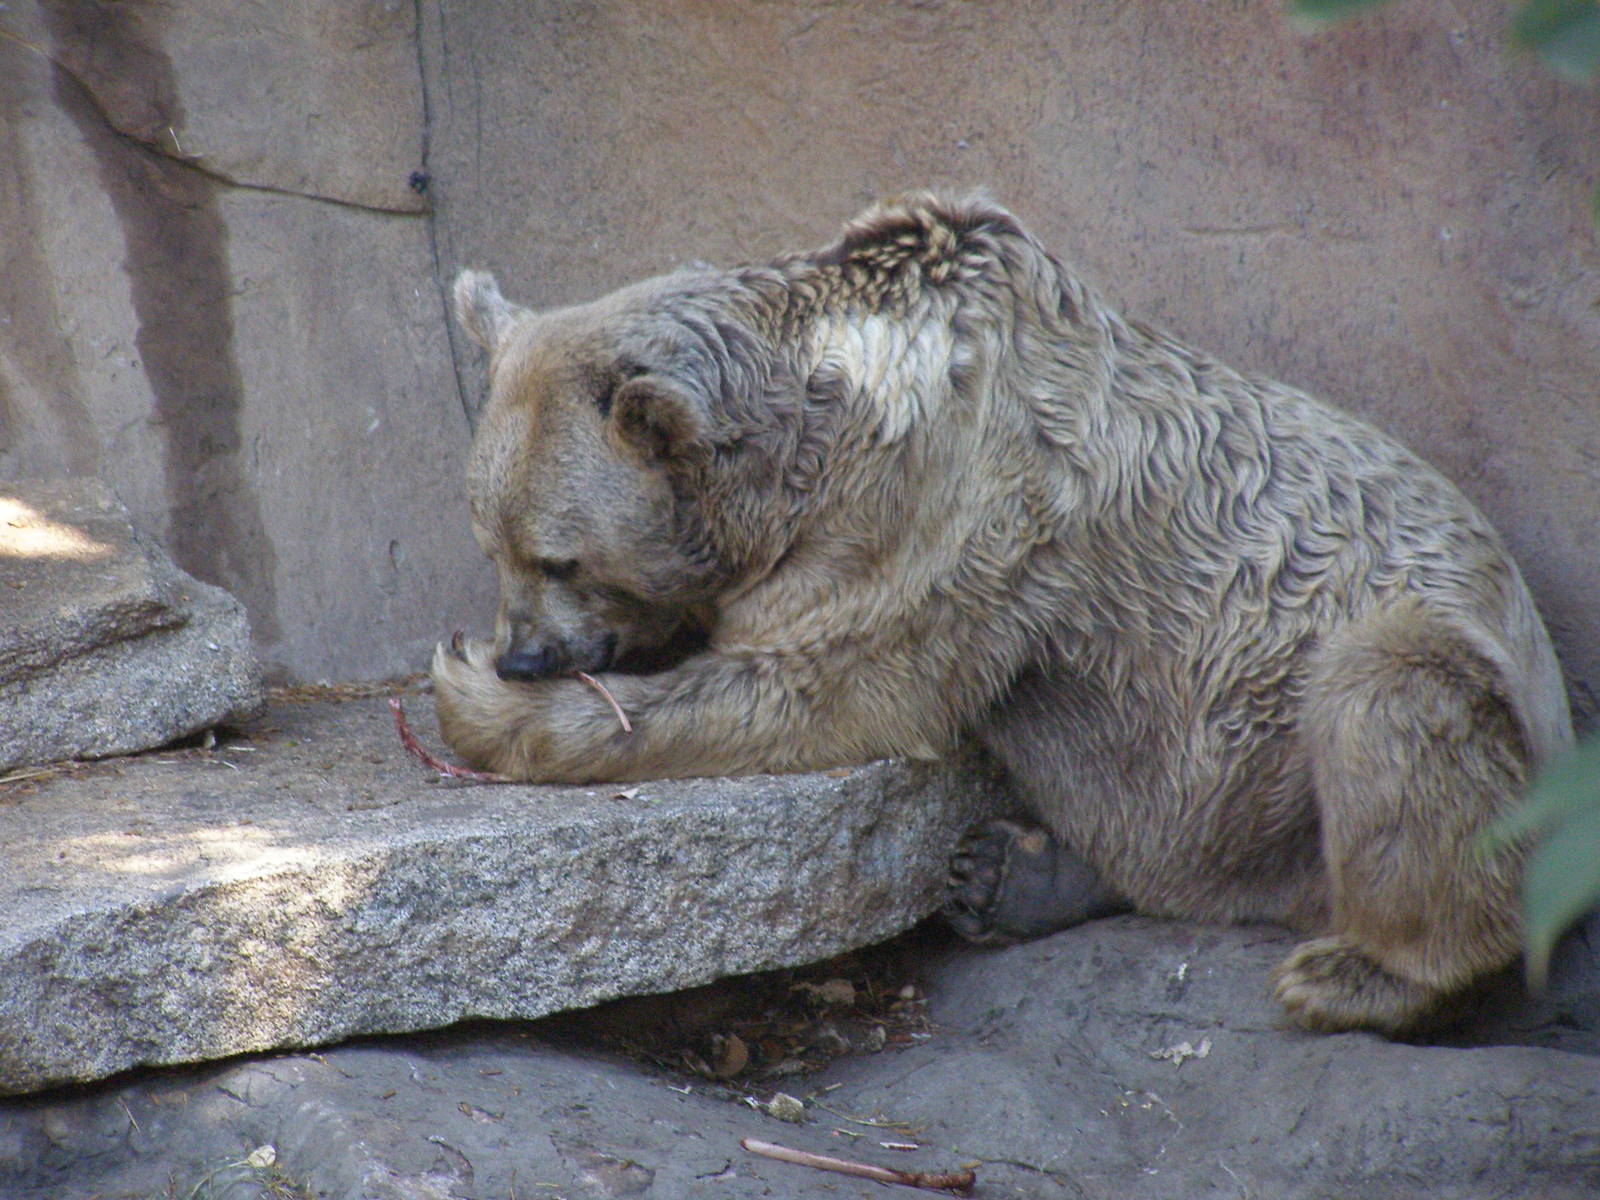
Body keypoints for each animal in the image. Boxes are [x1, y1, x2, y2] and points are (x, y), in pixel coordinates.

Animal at [432, 193, 1573, 1034]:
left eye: (560, 555)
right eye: (490, 540)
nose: (525, 653)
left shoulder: (940, 509)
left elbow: (818, 687)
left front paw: (476, 697)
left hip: (1390, 719)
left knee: (1395, 705)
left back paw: (1369, 974)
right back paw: (1014, 875)